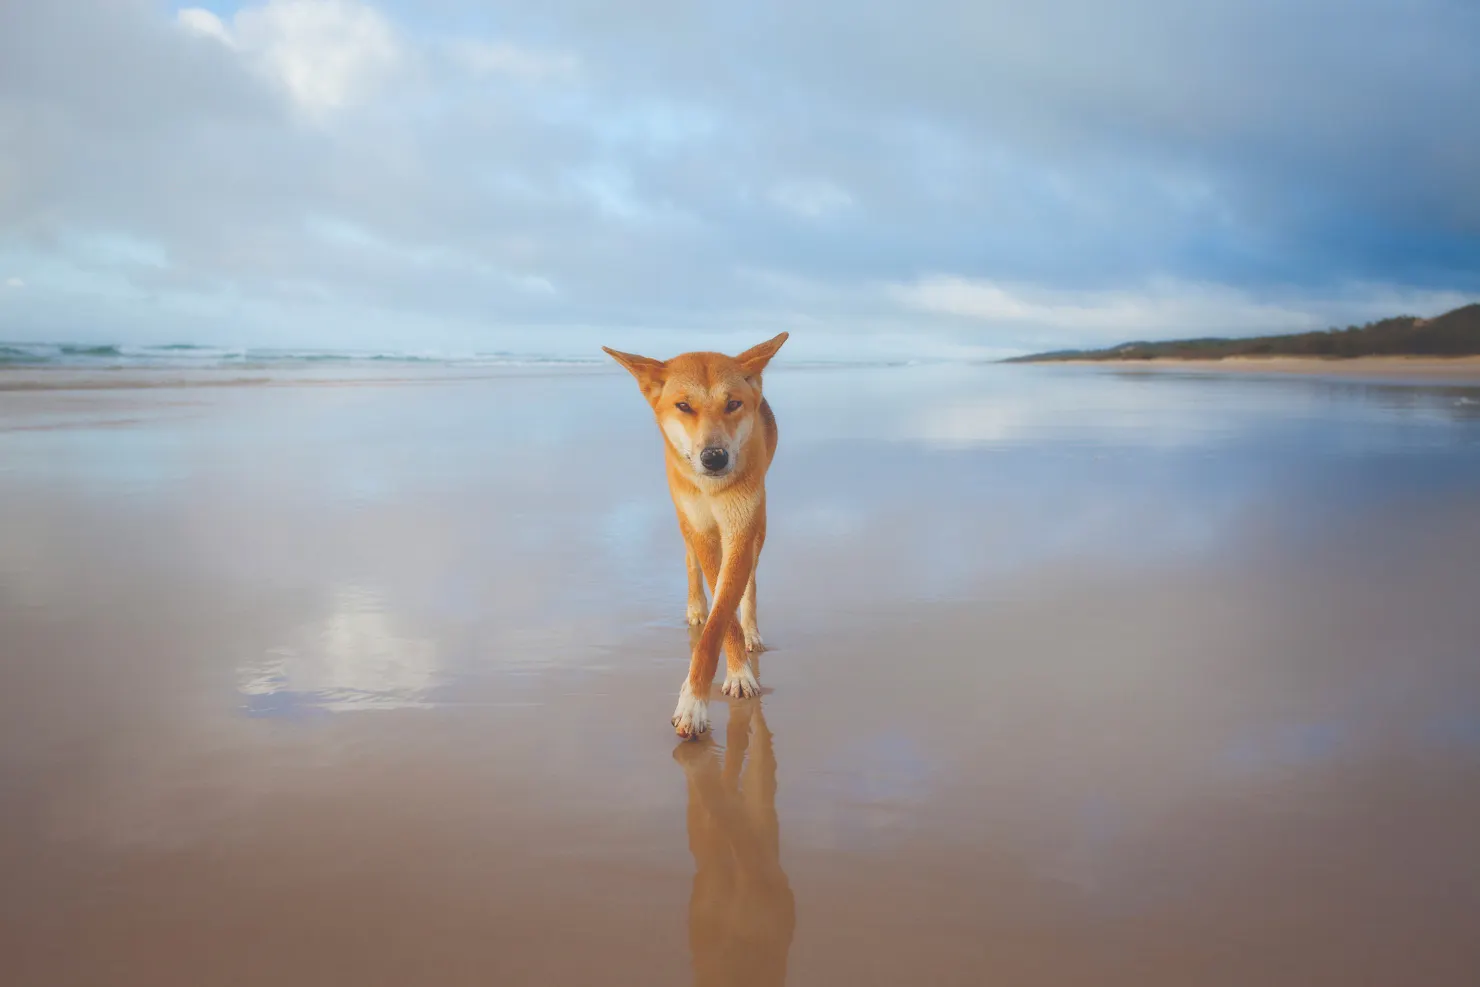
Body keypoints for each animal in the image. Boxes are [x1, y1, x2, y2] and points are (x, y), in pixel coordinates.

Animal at [597, 329, 787, 733]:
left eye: (734, 404)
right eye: (683, 406)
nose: (714, 457)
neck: (712, 489)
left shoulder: (741, 530)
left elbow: (724, 615)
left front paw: (702, 696)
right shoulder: (702, 530)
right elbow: (718, 611)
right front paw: (722, 679)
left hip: (759, 528)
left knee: (751, 582)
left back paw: (751, 631)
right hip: (684, 519)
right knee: (689, 561)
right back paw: (696, 607)